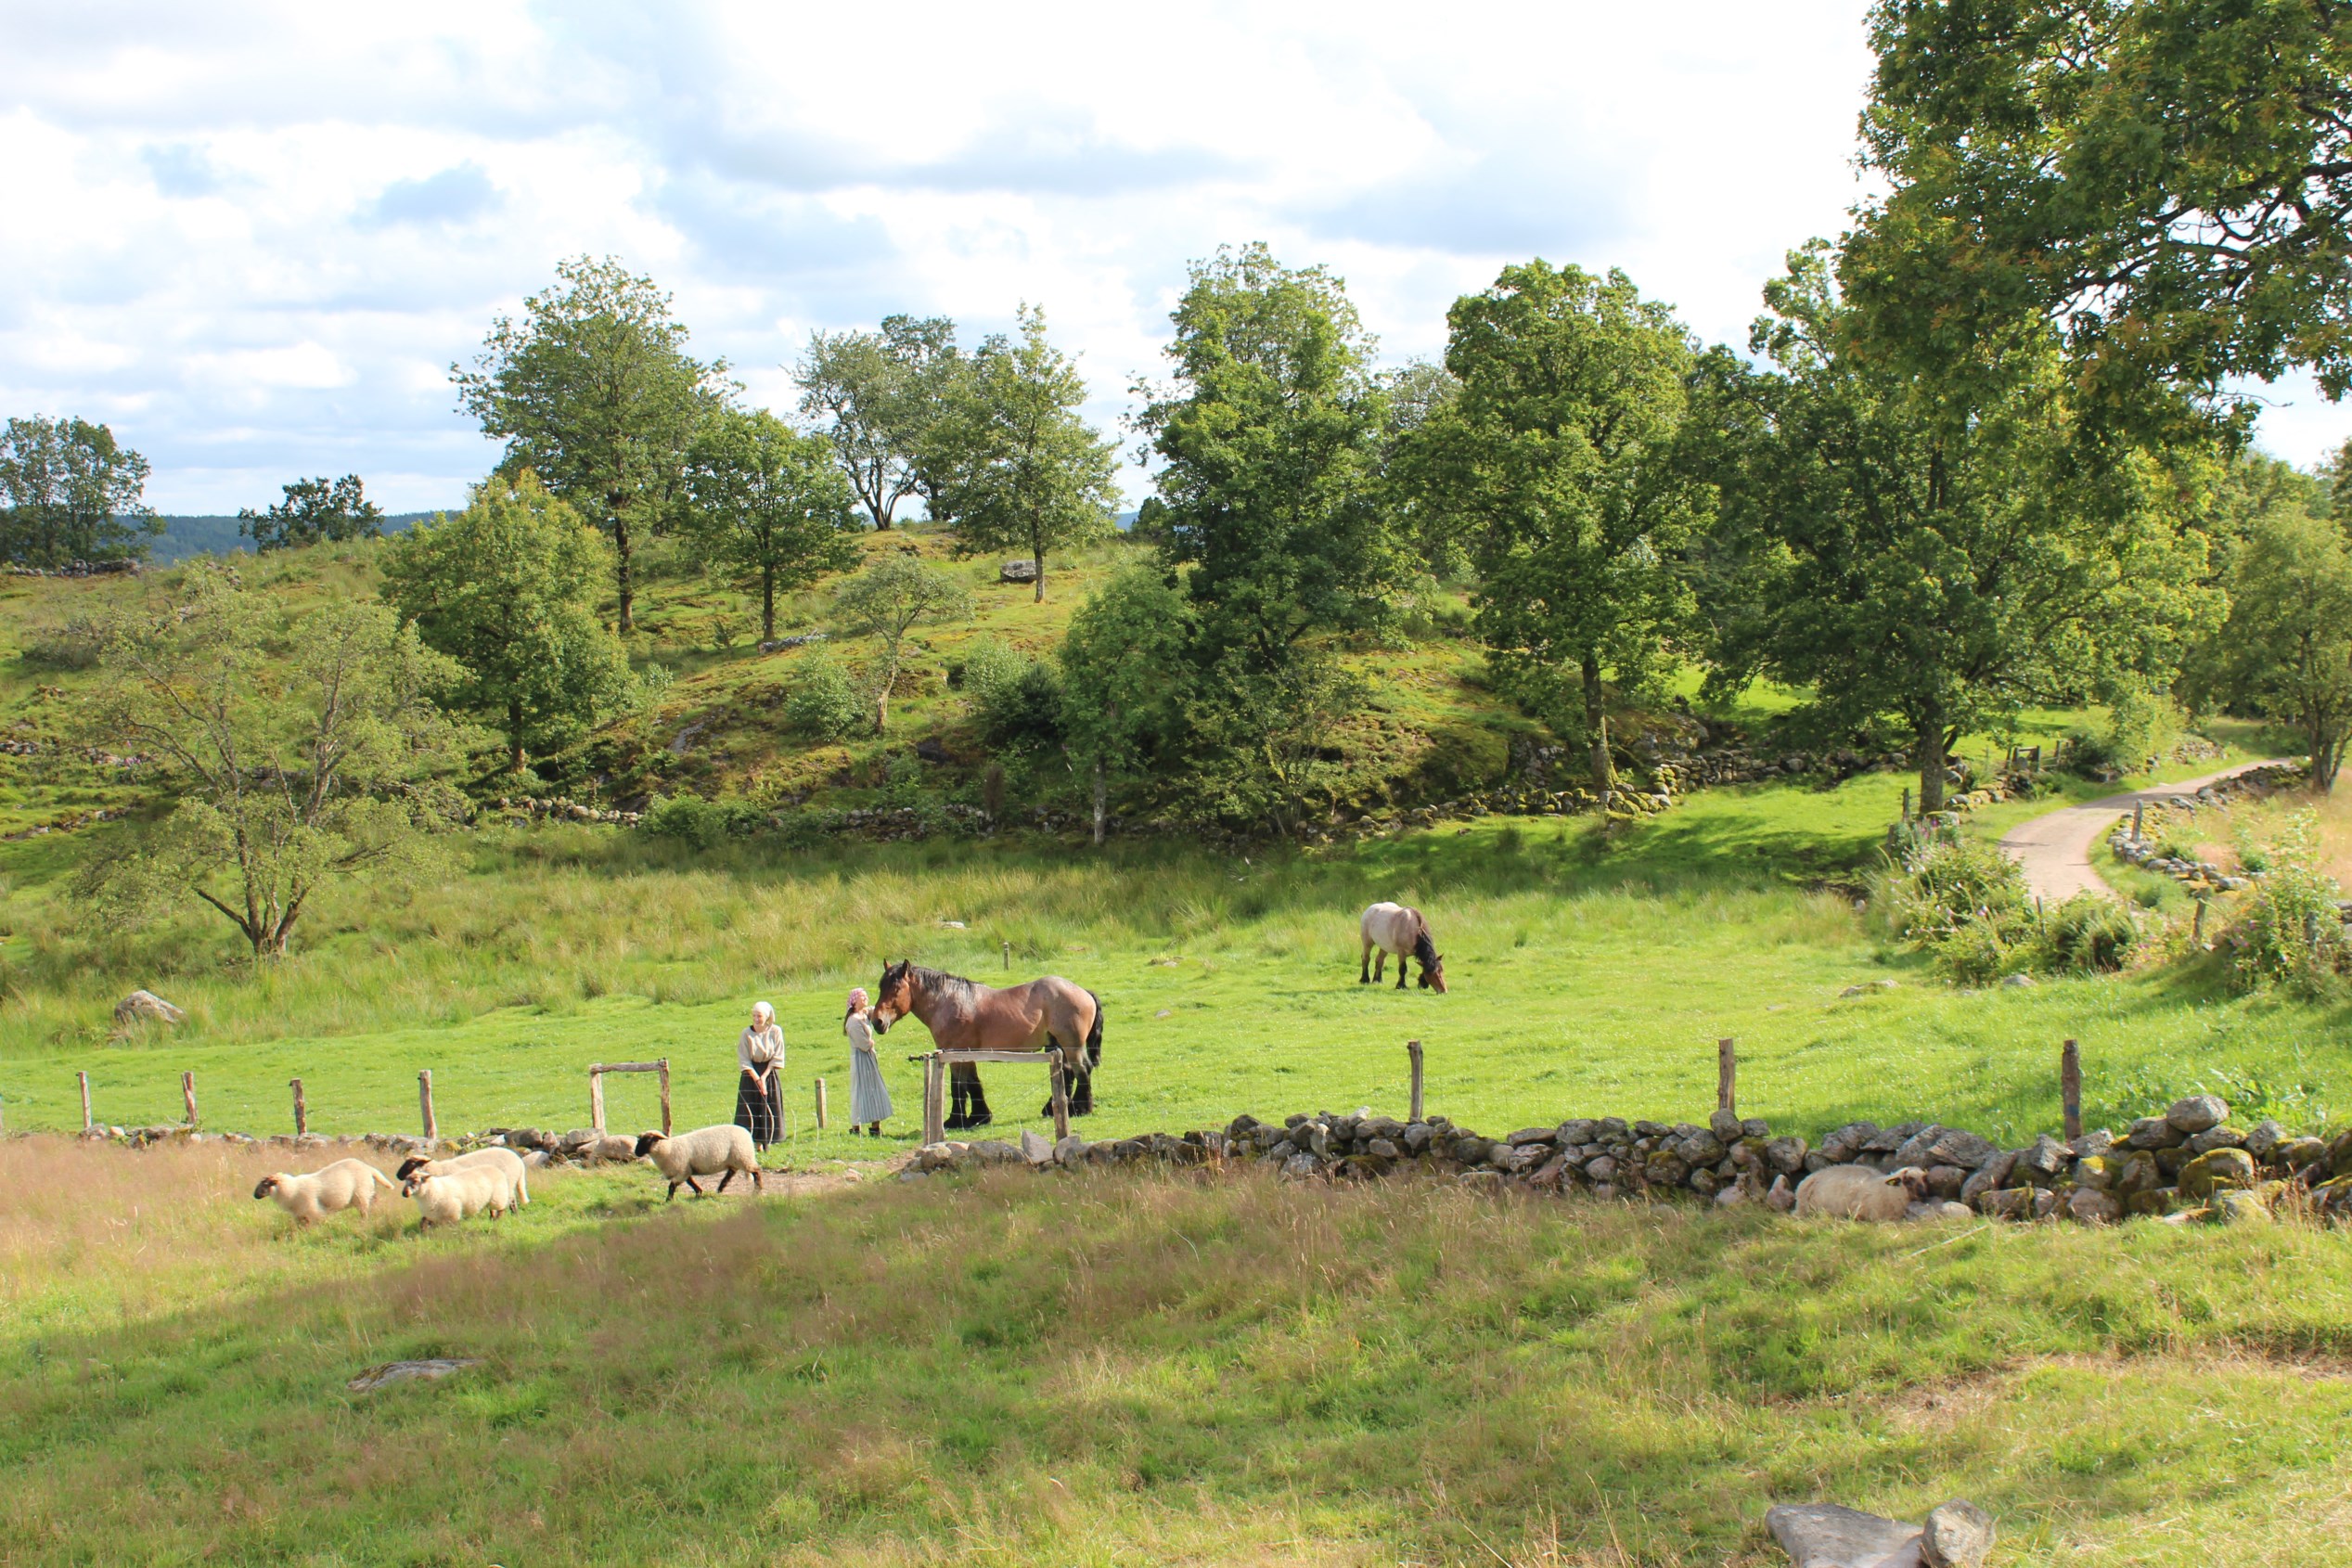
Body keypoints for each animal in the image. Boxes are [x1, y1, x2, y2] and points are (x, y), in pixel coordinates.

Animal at [253, 1151, 399, 1222]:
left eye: (265, 1183)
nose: (255, 1195)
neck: (292, 1189)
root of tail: (368, 1167)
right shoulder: (300, 1215)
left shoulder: (313, 1211)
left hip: (361, 1195)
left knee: (364, 1211)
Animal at [397, 1147, 531, 1213]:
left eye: (411, 1164)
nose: (397, 1176)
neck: (439, 1169)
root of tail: (519, 1161)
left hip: (508, 1181)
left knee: (511, 1199)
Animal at [635, 1128, 762, 1203]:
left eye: (648, 1140)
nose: (636, 1153)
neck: (668, 1149)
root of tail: (746, 1132)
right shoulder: (685, 1169)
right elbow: (691, 1182)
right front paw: (699, 1193)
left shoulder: (682, 1170)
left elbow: (672, 1186)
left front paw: (668, 1200)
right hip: (735, 1159)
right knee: (731, 1173)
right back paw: (720, 1188)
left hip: (744, 1157)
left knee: (756, 1171)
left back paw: (757, 1190)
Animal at [869, 958, 1105, 1128]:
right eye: (881, 987)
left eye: (896, 989)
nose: (877, 1021)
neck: (949, 1001)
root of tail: (1084, 992)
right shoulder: (965, 1055)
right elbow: (973, 1084)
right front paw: (979, 1117)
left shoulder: (957, 1054)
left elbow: (959, 1087)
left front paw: (956, 1121)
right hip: (1059, 1046)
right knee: (1068, 1073)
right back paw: (1053, 1108)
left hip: (1072, 1045)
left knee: (1082, 1070)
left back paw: (1080, 1109)